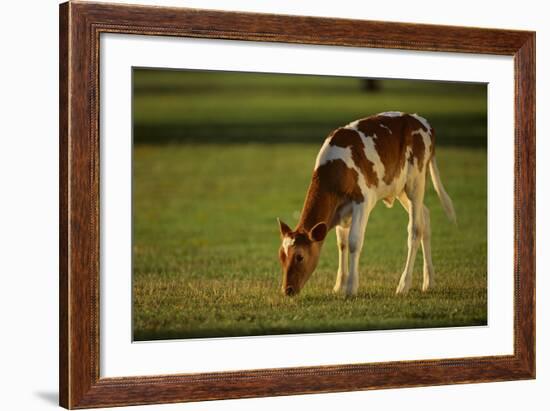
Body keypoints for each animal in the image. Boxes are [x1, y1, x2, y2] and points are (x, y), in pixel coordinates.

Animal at [280, 111, 458, 298]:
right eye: (281, 257)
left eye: (299, 257)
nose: (287, 290)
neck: (336, 170)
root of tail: (421, 121)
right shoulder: (340, 211)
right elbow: (342, 243)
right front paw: (339, 285)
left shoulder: (363, 201)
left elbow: (354, 241)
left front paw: (351, 288)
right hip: (399, 187)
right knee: (425, 216)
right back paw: (429, 281)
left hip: (415, 181)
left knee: (415, 229)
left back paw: (404, 285)